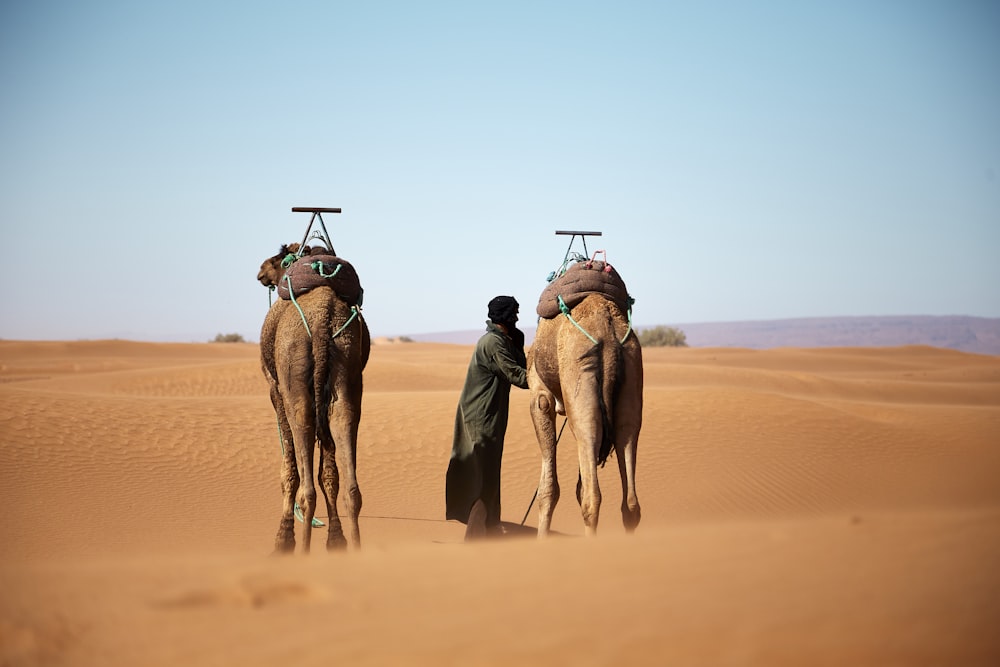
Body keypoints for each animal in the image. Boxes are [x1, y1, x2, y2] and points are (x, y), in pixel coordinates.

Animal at [256, 245, 370, 552]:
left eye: (278, 258)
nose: (260, 272)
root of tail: (321, 320)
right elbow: (329, 473)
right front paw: (336, 541)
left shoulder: (275, 389)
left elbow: (290, 468)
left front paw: (283, 540)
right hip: (347, 371)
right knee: (344, 430)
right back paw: (355, 546)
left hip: (294, 376)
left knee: (303, 438)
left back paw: (301, 548)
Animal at [528, 292, 644, 536]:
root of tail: (608, 334)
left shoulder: (540, 395)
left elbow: (548, 490)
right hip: (631, 375)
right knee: (630, 502)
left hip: (581, 382)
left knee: (592, 499)